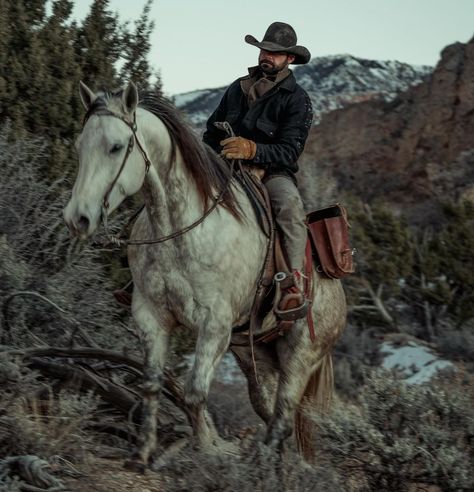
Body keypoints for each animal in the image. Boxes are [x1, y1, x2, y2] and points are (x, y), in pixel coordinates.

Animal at [63, 80, 346, 466]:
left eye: (116, 146)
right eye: (80, 145)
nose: (77, 218)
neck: (182, 228)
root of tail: (335, 286)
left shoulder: (214, 325)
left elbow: (194, 393)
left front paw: (210, 449)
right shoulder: (151, 316)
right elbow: (152, 384)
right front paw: (142, 453)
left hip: (300, 354)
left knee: (283, 416)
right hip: (256, 358)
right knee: (270, 410)